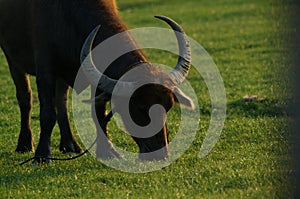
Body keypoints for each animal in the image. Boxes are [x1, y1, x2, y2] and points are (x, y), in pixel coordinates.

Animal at [0, 0, 193, 162]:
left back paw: (70, 144)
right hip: (12, 58)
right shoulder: (45, 70)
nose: (161, 153)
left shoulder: (97, 78)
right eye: (140, 107)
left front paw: (108, 151)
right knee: (25, 98)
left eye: (168, 106)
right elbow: (47, 114)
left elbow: (98, 113)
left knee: (62, 102)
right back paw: (25, 143)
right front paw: (42, 154)